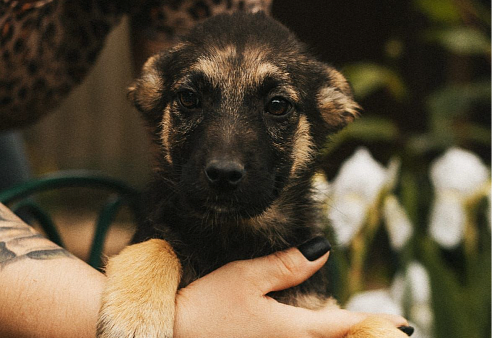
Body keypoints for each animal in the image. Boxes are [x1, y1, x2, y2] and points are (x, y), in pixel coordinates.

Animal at [96, 11, 408, 338]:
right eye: (189, 98)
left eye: (278, 105)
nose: (223, 174)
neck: (231, 234)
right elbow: (157, 245)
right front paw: (135, 317)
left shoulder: (315, 308)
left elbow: (370, 325)